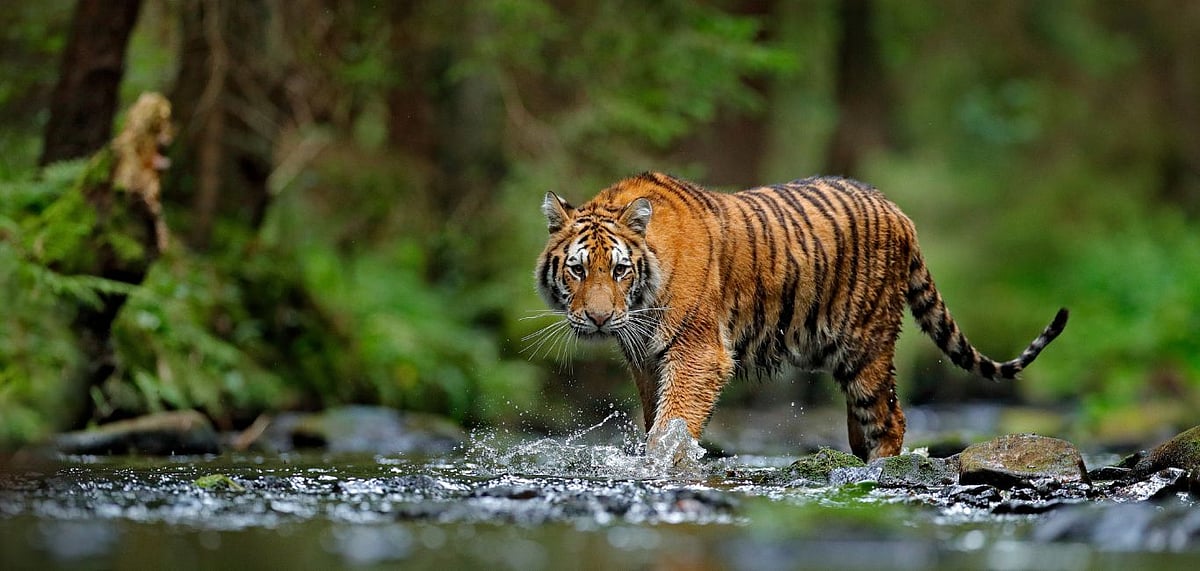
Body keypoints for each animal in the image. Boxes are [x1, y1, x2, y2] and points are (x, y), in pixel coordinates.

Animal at [534, 172, 1068, 461]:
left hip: (866, 345)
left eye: (619, 270)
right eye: (578, 270)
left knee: (890, 418)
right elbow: (655, 420)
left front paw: (664, 465)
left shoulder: (697, 353)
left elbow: (673, 424)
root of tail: (898, 211)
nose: (599, 319)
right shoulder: (646, 359)